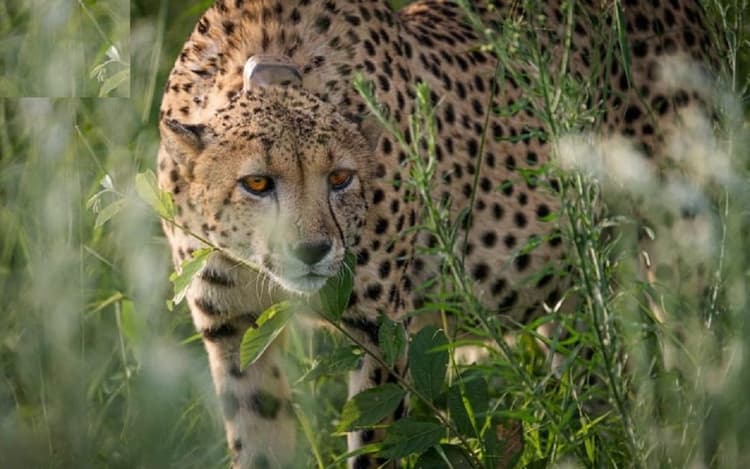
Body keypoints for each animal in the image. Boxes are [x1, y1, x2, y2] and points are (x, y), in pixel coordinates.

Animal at [157, 0, 719, 467]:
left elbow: (374, 444)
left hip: (678, 248)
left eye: (340, 178)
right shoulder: (231, 331)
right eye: (256, 183)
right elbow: (257, 443)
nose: (312, 251)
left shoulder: (381, 331)